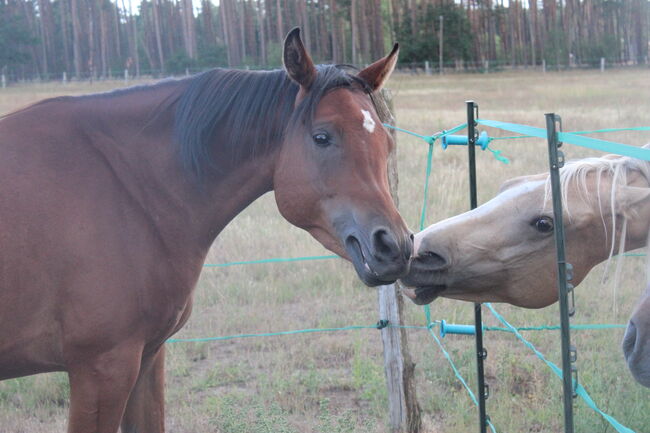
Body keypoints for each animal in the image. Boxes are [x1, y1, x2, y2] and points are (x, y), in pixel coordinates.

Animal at [0, 27, 412, 432]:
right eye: (322, 137)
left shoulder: (146, 357)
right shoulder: (102, 370)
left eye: (386, 142)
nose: (394, 246)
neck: (126, 187)